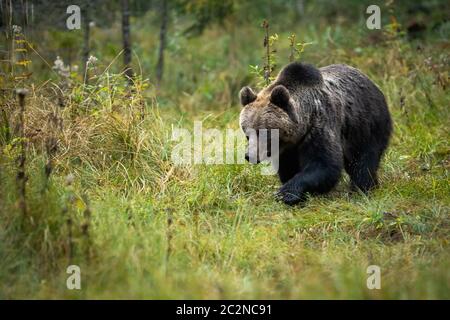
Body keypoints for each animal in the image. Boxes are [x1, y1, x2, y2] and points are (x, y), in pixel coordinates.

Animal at [241, 62, 392, 205]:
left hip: (366, 125)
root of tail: (371, 82)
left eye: (264, 133)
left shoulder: (319, 126)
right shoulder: (288, 150)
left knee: (363, 161)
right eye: (247, 134)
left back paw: (362, 189)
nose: (249, 155)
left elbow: (324, 164)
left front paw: (286, 193)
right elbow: (288, 168)